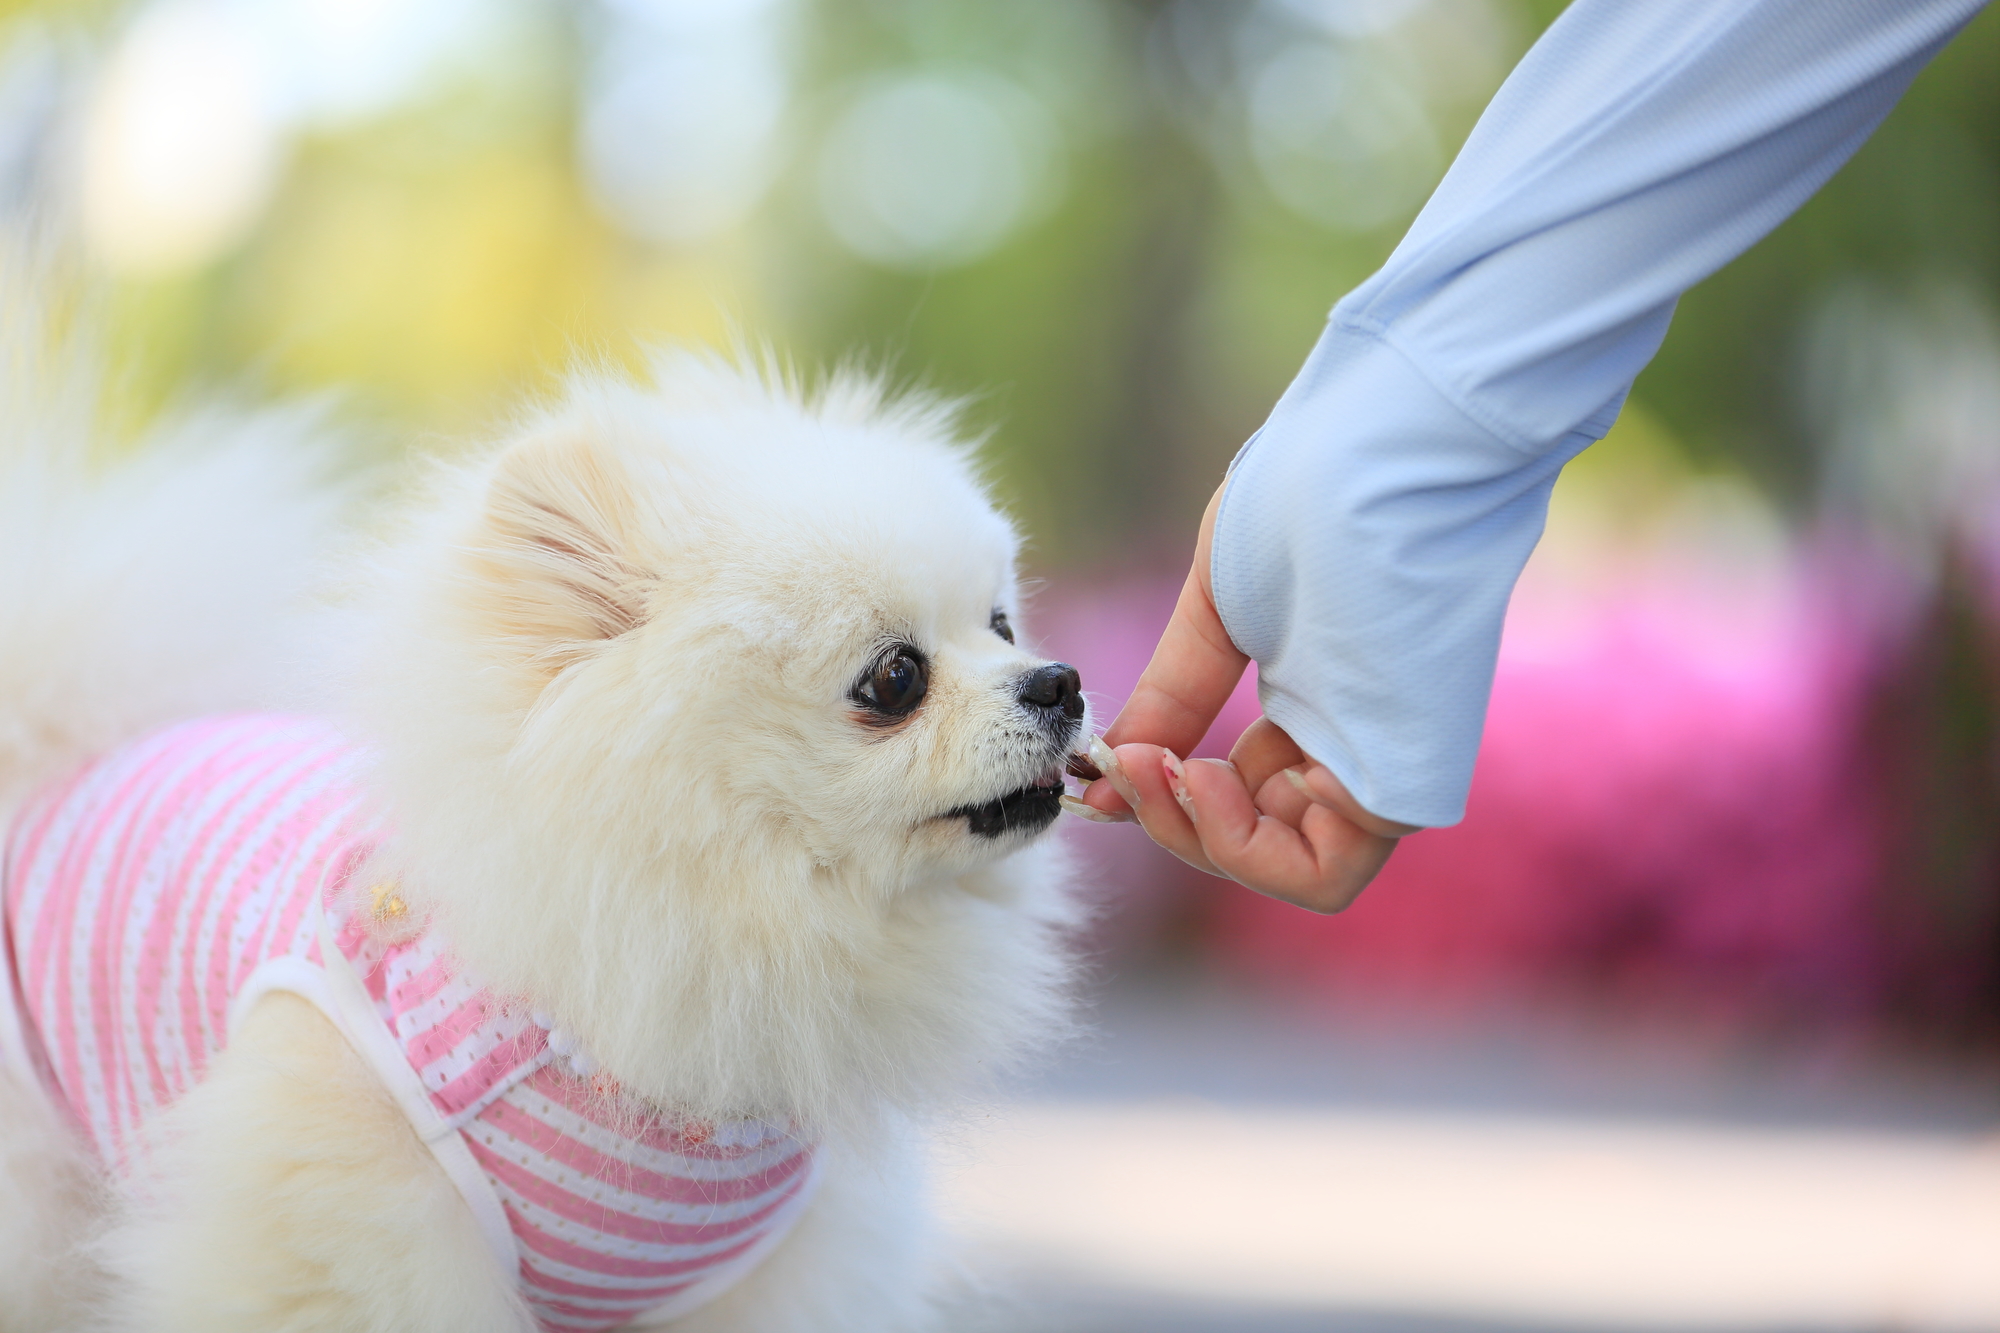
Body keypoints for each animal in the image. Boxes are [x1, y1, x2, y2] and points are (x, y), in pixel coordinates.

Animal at [0, 262, 1096, 1328]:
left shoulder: (759, 1280)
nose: (1061, 682)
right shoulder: (350, 1241)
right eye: (896, 678)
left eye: (1001, 623)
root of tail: (65, 751)